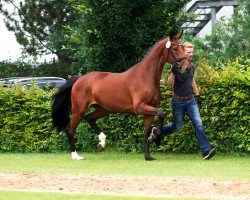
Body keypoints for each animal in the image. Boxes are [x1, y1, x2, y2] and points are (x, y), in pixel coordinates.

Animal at [51, 32, 190, 162]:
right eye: (175, 48)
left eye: (183, 47)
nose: (187, 68)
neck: (145, 76)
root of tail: (80, 78)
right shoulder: (140, 108)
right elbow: (161, 114)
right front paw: (155, 137)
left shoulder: (149, 111)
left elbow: (146, 132)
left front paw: (148, 155)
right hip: (78, 110)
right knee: (70, 129)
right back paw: (76, 156)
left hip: (104, 109)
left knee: (90, 118)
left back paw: (101, 143)